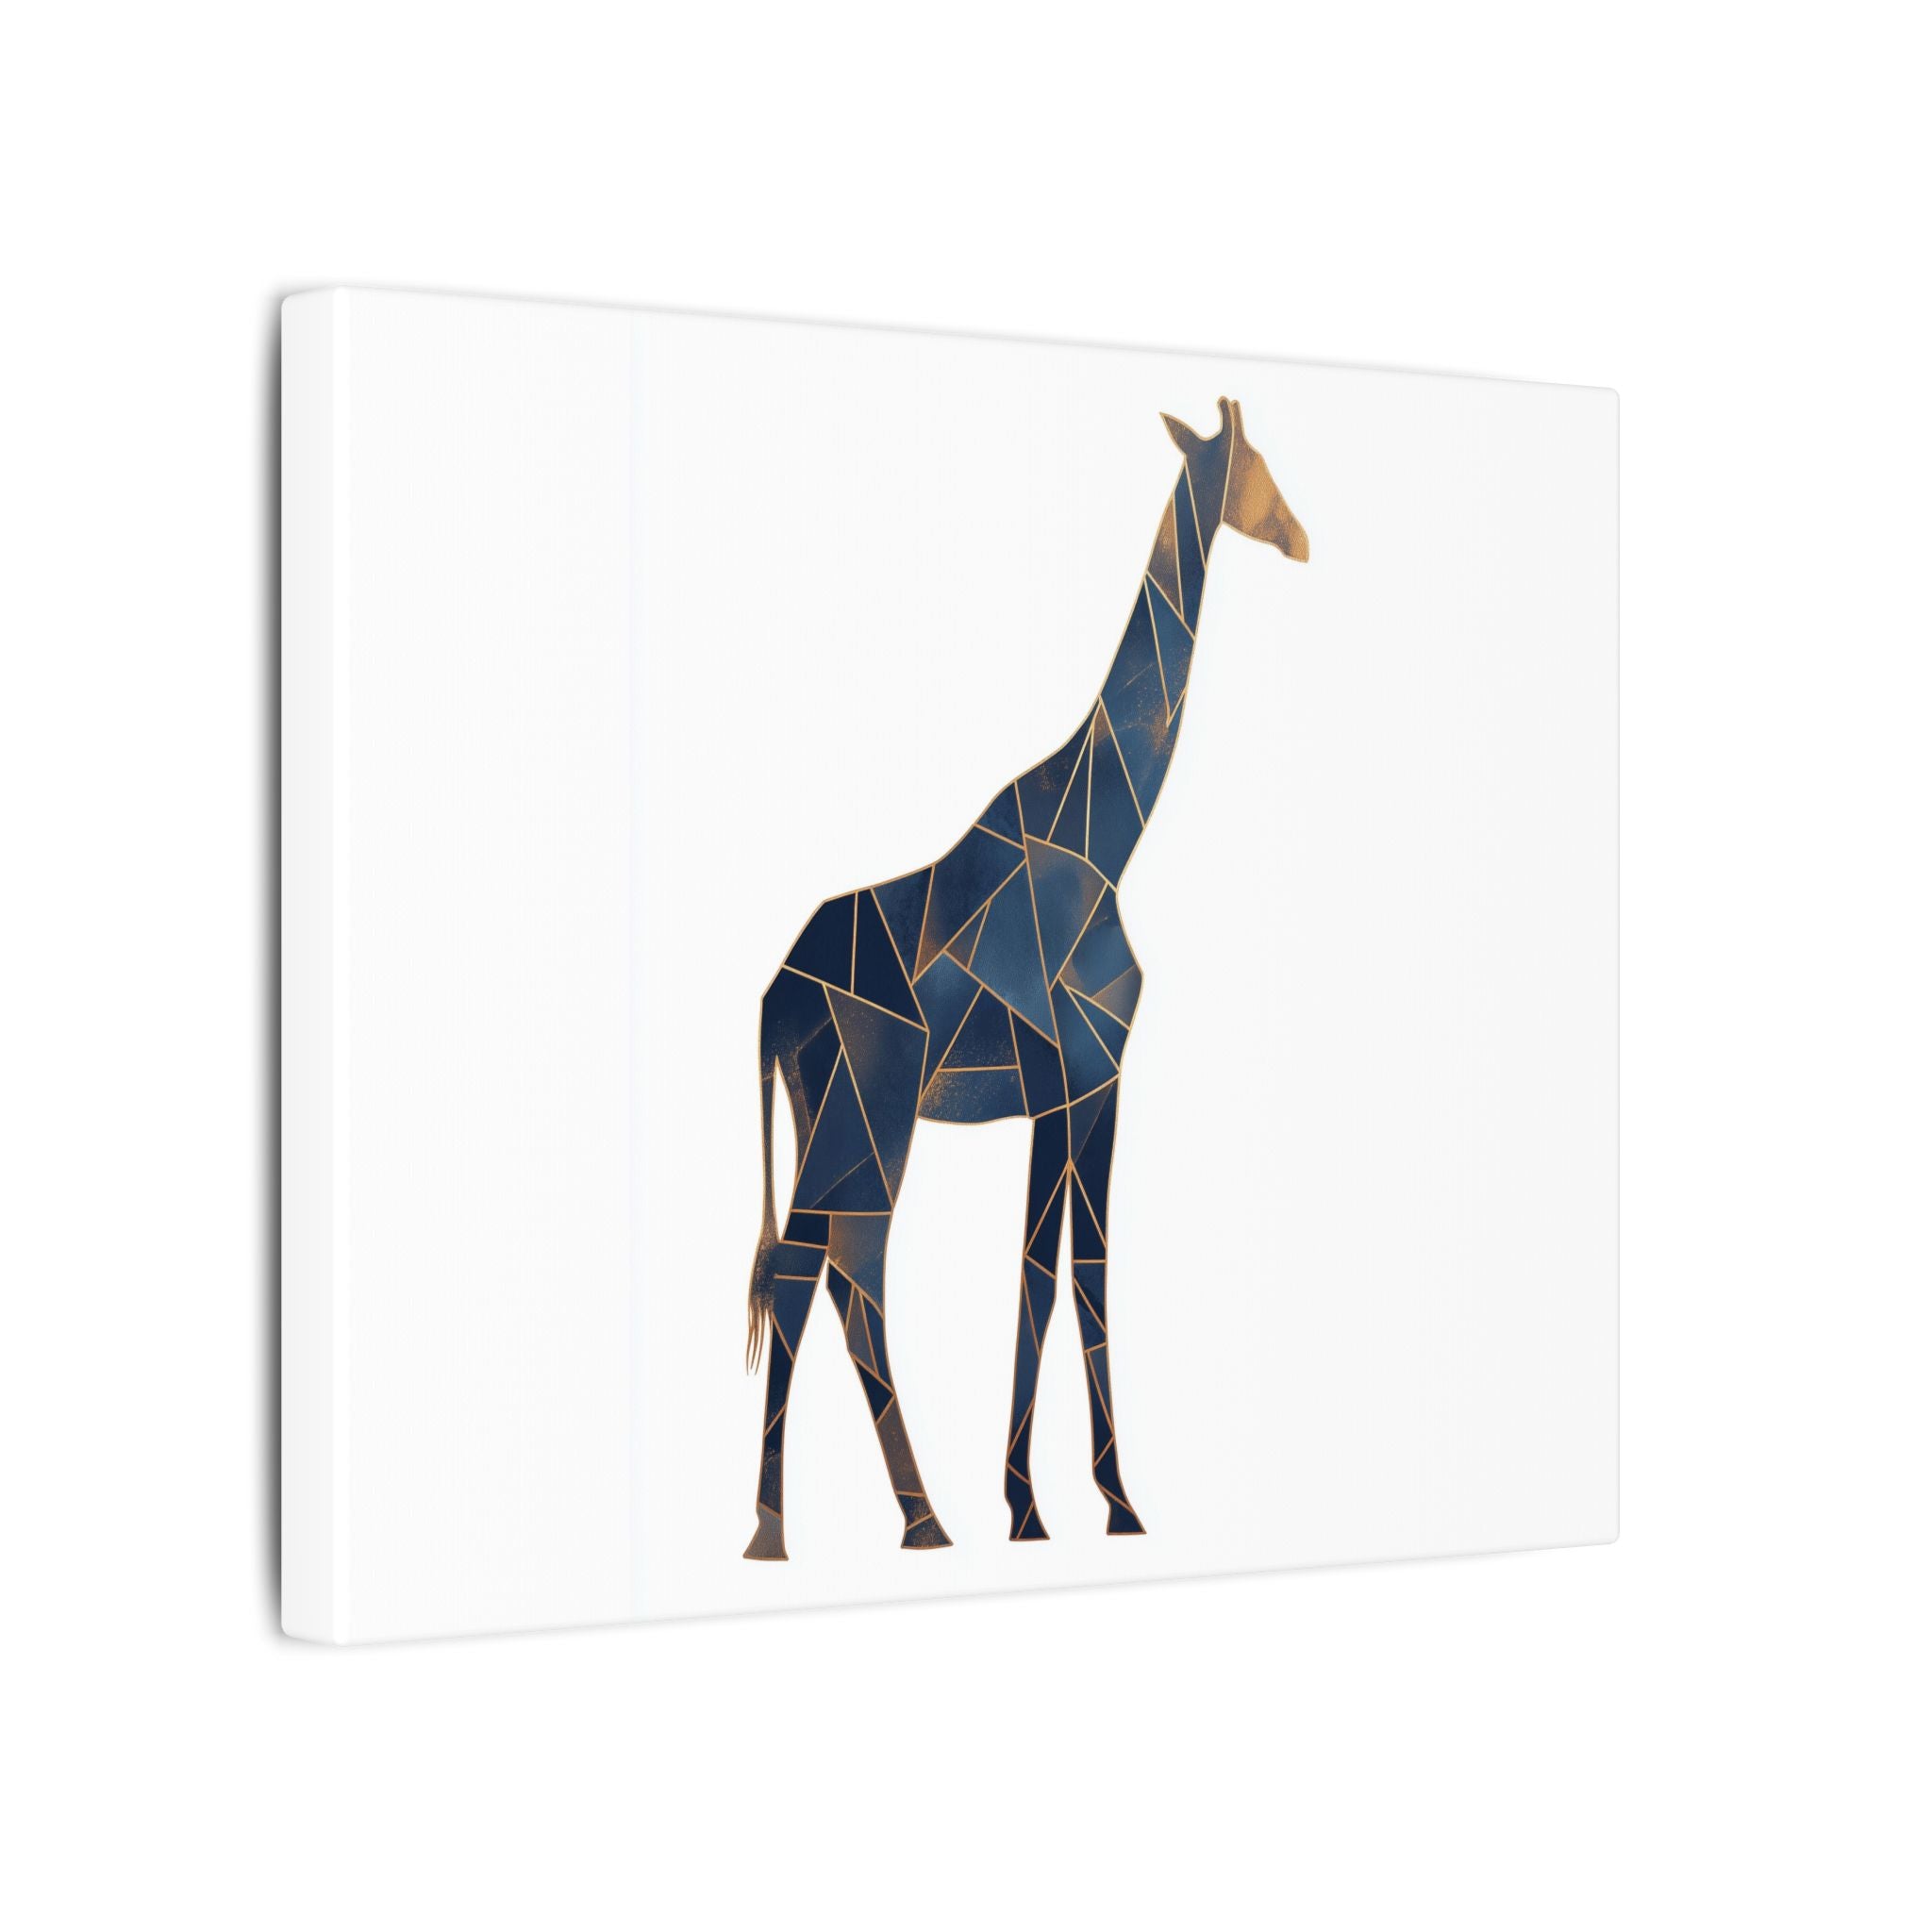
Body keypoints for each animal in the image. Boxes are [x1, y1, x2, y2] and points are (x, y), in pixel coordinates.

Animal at [742, 397, 1308, 1561]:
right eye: (1257, 465)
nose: (1303, 536)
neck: (1110, 832)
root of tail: (775, 996)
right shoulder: (1089, 1071)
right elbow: (1067, 1272)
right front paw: (1085, 1504)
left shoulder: (1071, 1088)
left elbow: (1053, 1273)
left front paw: (1052, 1504)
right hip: (869, 1113)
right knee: (824, 1268)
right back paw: (789, 1530)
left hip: (831, 1112)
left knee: (835, 1272)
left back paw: (909, 1518)